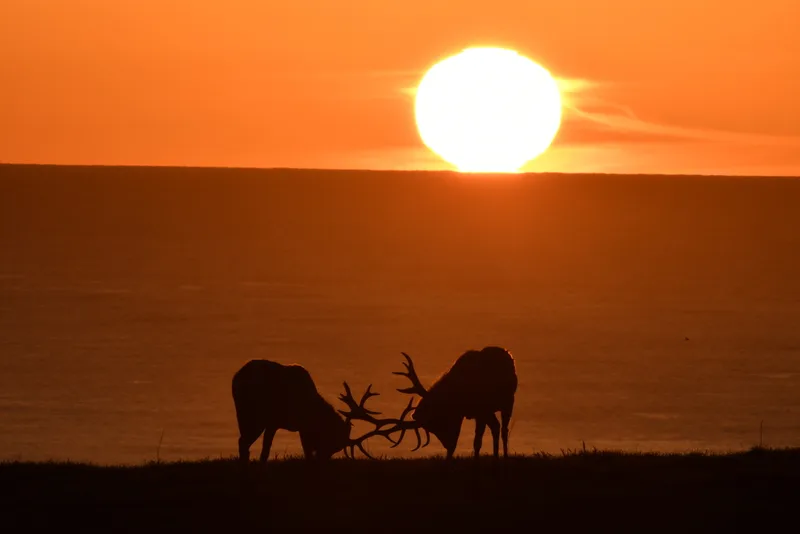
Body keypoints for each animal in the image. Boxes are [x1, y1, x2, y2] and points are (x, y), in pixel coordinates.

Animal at [231, 359, 407, 464]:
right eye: (332, 442)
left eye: (336, 448)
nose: (322, 460)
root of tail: (236, 379)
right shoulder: (292, 424)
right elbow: (303, 450)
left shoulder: (282, 424)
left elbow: (268, 449)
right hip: (253, 416)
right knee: (243, 441)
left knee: (242, 441)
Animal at [388, 346, 518, 459]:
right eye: (431, 428)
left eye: (435, 423)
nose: (449, 447)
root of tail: (508, 354)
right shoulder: (475, 413)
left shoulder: (482, 411)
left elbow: (477, 440)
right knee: (496, 427)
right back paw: (496, 455)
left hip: (508, 402)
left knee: (504, 430)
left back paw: (505, 456)